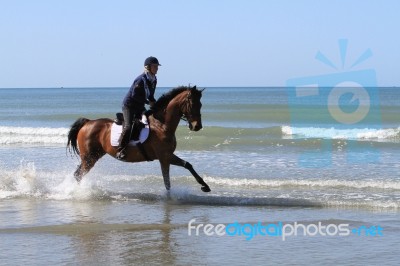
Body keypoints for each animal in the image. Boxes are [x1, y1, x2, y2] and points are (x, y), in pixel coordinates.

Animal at [68, 86, 212, 192]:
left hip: (95, 155)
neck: (162, 125)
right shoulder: (164, 156)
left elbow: (187, 165)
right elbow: (168, 181)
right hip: (89, 157)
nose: (197, 126)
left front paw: (205, 186)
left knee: (77, 174)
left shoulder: (167, 156)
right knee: (78, 174)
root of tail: (88, 122)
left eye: (200, 104)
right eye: (192, 104)